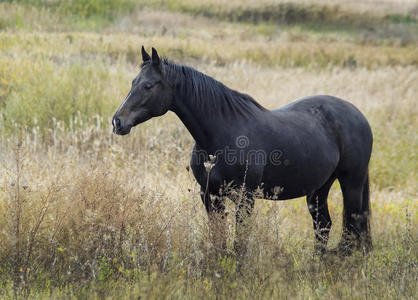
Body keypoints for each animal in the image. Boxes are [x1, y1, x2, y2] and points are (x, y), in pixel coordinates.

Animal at [112, 47, 374, 258]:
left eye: (148, 85)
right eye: (133, 82)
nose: (117, 121)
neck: (221, 135)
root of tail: (358, 115)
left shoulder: (244, 198)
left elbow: (240, 242)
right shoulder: (210, 195)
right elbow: (218, 238)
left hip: (351, 183)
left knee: (353, 227)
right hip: (319, 188)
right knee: (323, 225)